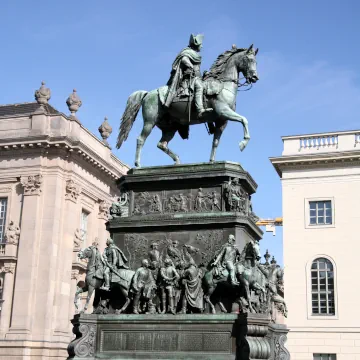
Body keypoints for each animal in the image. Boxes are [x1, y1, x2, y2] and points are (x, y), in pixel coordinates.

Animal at [116, 44, 258, 167]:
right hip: (150, 122)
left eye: (256, 61)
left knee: (161, 144)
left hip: (170, 127)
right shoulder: (223, 111)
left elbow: (215, 142)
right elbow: (244, 120)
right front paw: (243, 143)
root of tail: (148, 93)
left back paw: (177, 161)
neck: (223, 84)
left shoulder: (222, 121)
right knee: (141, 139)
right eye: (249, 59)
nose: (255, 77)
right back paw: (138, 165)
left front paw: (212, 161)